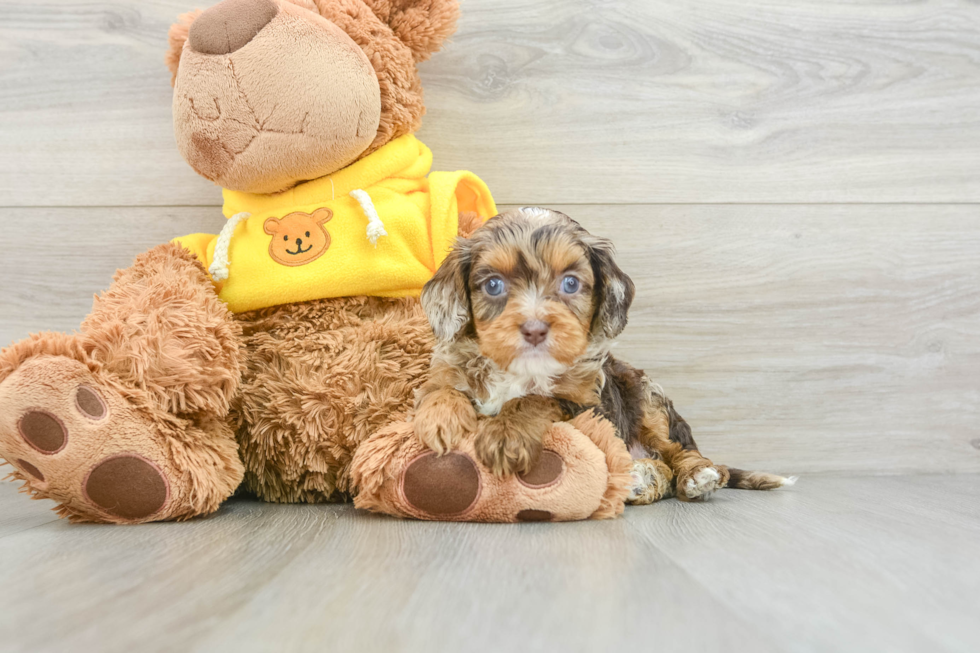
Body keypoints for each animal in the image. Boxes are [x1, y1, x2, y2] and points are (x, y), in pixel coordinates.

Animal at [418, 206, 792, 502]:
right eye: (493, 285)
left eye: (570, 283)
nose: (535, 329)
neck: (521, 370)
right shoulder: (447, 369)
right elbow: (439, 389)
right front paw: (439, 419)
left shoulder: (588, 407)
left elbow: (535, 399)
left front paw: (505, 435)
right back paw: (641, 478)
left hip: (647, 399)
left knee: (682, 454)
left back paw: (696, 476)